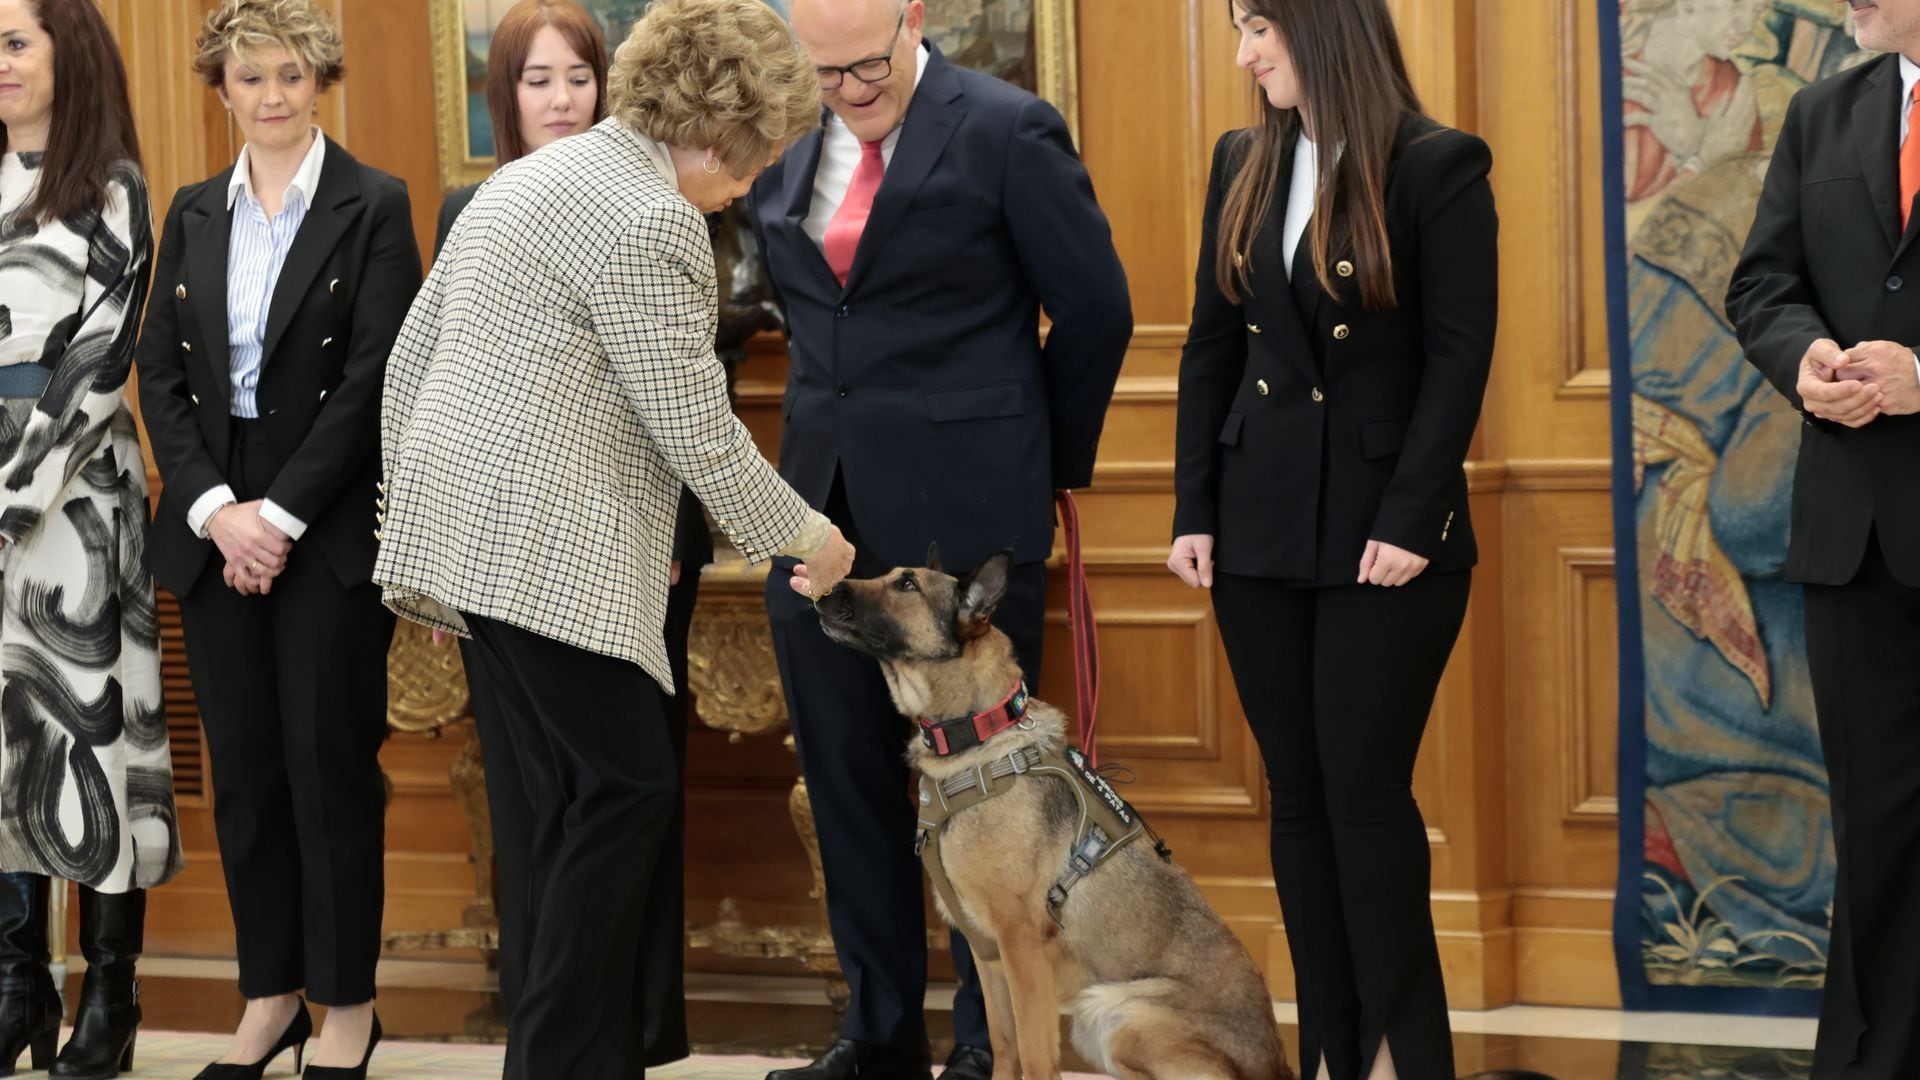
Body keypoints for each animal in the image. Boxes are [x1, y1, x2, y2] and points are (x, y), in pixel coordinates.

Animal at [810, 545, 1290, 1076]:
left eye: (907, 585)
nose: (821, 589)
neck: (976, 734)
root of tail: (1277, 1065)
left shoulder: (1021, 946)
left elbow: (1035, 1055)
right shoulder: (987, 951)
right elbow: (1003, 1043)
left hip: (1118, 1014)